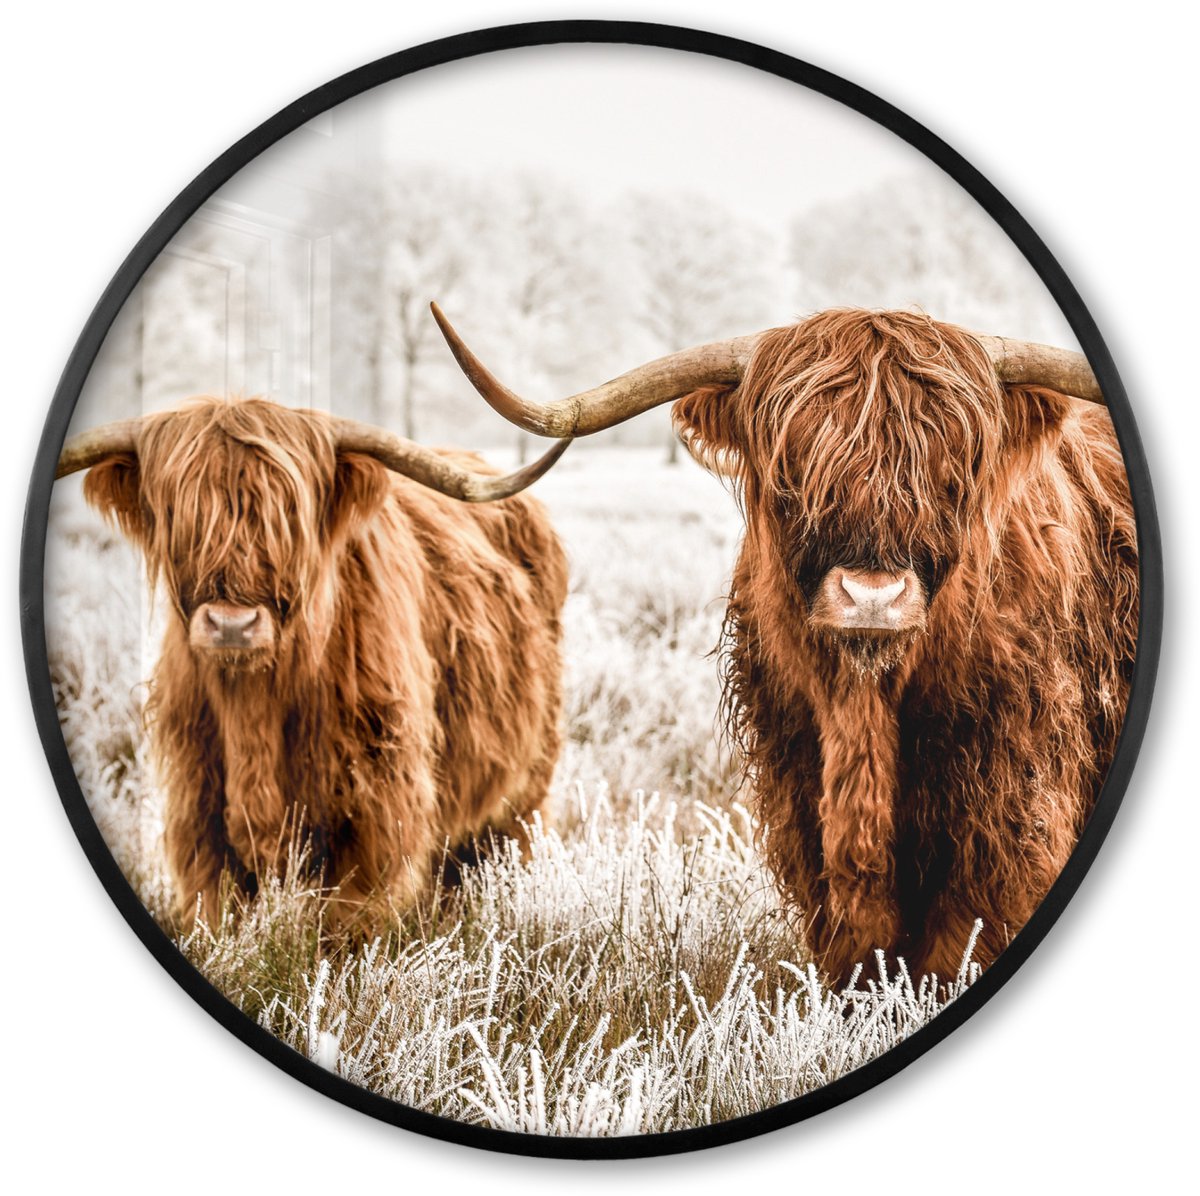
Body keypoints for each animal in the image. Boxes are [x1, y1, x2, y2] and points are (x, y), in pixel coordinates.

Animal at [57, 398, 571, 936]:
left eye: (290, 515)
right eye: (177, 512)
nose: (232, 625)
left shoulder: (377, 806)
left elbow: (350, 920)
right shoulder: (197, 805)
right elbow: (216, 906)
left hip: (525, 784)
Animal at [429, 302, 1138, 988]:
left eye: (953, 473)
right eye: (793, 474)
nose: (872, 596)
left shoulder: (1007, 813)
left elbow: (958, 945)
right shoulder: (800, 793)